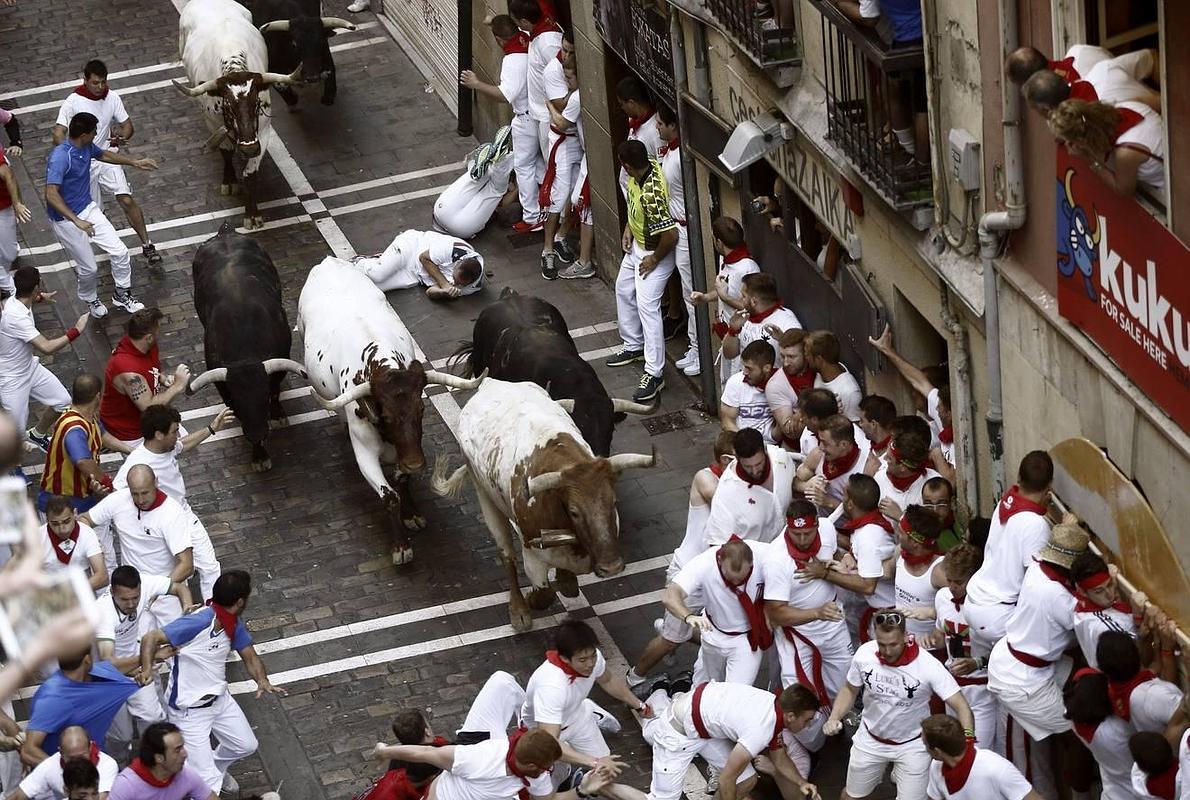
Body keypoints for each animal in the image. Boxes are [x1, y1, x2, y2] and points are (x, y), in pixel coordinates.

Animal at [191, 225, 299, 471]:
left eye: (263, 398)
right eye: (236, 403)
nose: (257, 433)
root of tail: (225, 232)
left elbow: (276, 391)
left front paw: (277, 416)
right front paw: (259, 456)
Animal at [297, 255, 483, 561]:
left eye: (421, 409)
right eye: (384, 415)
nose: (416, 463)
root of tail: (328, 261)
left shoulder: (407, 448)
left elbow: (402, 481)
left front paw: (412, 514)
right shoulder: (364, 452)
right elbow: (389, 495)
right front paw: (401, 546)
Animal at [433, 378, 656, 633]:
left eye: (613, 501)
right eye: (574, 511)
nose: (612, 567)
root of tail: (490, 382)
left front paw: (567, 580)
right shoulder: (533, 556)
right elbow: (544, 596)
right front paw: (531, 600)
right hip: (484, 495)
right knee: (506, 553)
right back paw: (518, 610)